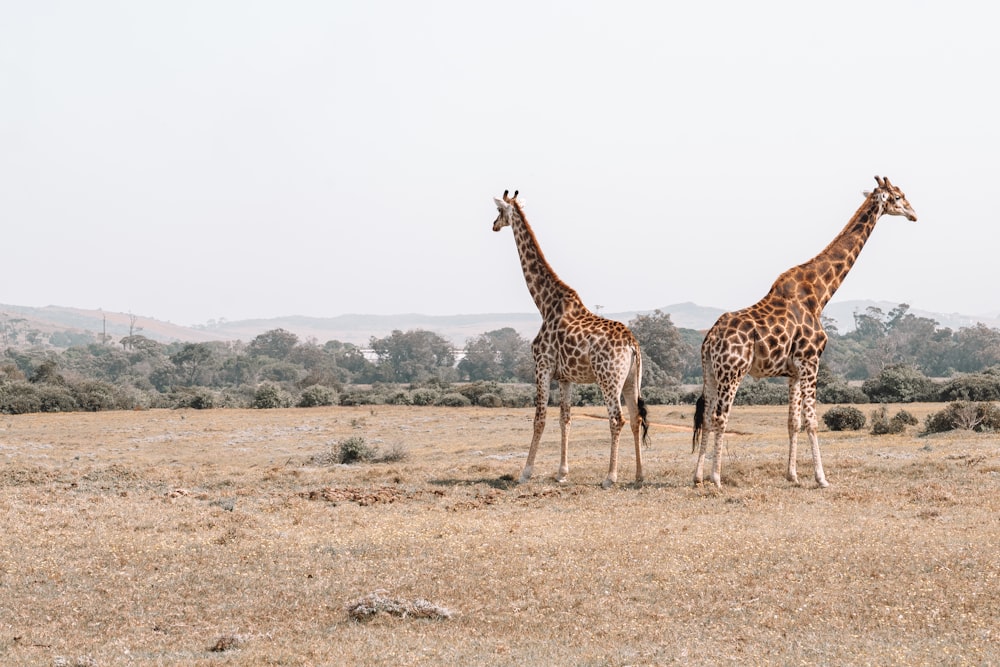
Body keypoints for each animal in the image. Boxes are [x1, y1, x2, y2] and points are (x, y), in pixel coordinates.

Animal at [492, 190, 648, 488]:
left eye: (499, 211)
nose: (493, 225)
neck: (544, 303)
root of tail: (632, 345)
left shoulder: (541, 366)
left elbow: (539, 418)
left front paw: (525, 472)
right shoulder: (565, 377)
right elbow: (565, 418)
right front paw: (562, 473)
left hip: (608, 378)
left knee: (617, 419)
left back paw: (610, 477)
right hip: (632, 379)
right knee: (636, 418)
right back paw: (639, 475)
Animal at [696, 177, 916, 490]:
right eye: (898, 197)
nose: (914, 214)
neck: (820, 294)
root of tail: (710, 338)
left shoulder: (794, 370)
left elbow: (793, 422)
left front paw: (793, 475)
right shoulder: (811, 361)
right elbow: (812, 421)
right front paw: (821, 478)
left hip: (711, 373)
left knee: (704, 414)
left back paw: (698, 476)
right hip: (732, 371)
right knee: (719, 416)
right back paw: (716, 478)